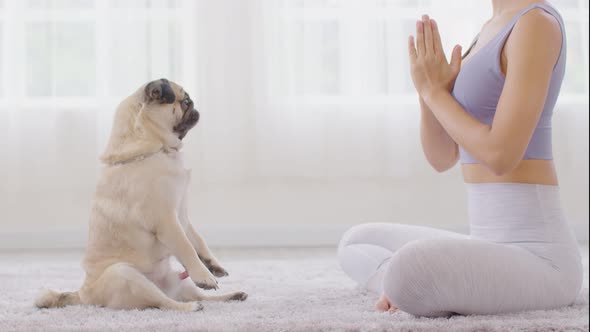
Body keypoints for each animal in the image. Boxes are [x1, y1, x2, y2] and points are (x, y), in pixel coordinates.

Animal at [35, 78, 247, 312]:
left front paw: (212, 265)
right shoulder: (167, 221)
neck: (157, 149)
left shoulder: (182, 216)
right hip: (126, 276)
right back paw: (191, 307)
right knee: (166, 303)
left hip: (179, 281)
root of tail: (84, 295)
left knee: (197, 296)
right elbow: (186, 247)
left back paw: (232, 296)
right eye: (184, 101)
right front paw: (204, 275)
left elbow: (198, 240)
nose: (194, 105)